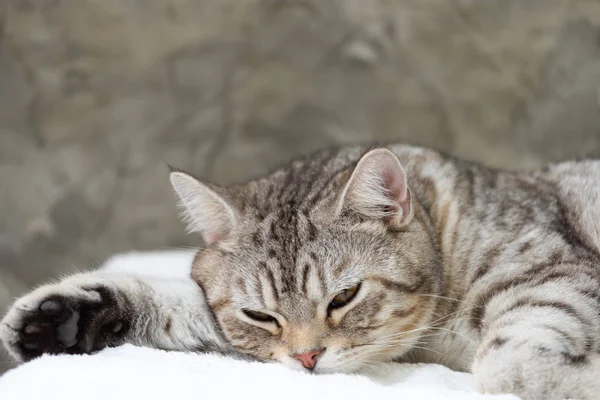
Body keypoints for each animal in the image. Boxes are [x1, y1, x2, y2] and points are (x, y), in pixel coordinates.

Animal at [1, 145, 600, 400]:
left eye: (345, 296)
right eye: (260, 315)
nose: (308, 358)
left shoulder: (555, 271)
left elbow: (507, 365)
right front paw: (66, 318)